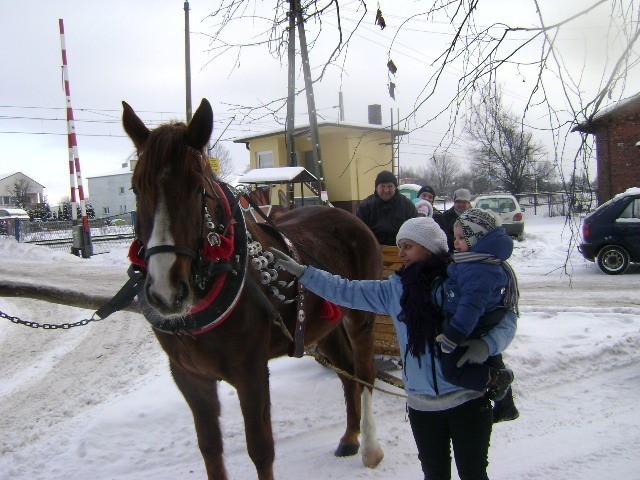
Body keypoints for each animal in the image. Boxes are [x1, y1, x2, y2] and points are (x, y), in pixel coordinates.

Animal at [121, 98, 384, 480]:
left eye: (197, 188)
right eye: (136, 188)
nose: (167, 292)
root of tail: (347, 215)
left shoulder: (252, 372)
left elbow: (261, 449)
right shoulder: (190, 377)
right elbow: (210, 449)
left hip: (360, 317)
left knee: (363, 374)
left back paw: (370, 447)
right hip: (324, 326)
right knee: (346, 373)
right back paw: (350, 437)